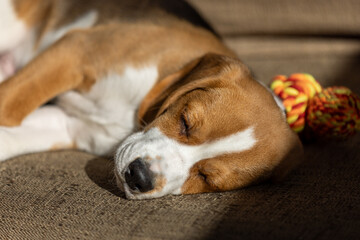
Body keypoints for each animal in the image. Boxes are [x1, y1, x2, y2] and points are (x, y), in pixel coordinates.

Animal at [0, 0, 304, 199]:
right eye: (185, 121)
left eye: (207, 178)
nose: (140, 176)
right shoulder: (76, 51)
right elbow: (8, 106)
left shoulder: (69, 125)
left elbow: (11, 132)